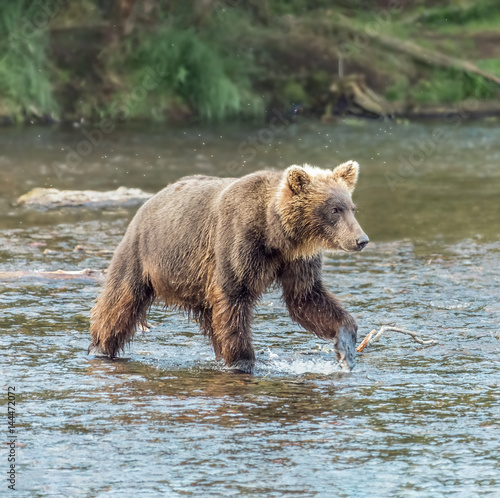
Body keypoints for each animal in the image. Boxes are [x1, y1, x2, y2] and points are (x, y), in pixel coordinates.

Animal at [90, 161, 370, 372]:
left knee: (213, 321)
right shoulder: (239, 241)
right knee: (120, 302)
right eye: (334, 209)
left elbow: (306, 298)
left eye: (352, 208)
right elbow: (234, 298)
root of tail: (150, 200)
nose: (362, 239)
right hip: (144, 254)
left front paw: (346, 349)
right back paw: (100, 346)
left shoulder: (296, 260)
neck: (276, 235)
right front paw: (243, 361)